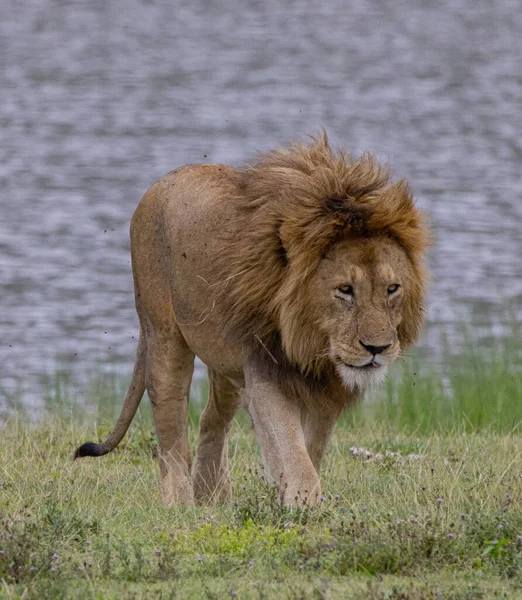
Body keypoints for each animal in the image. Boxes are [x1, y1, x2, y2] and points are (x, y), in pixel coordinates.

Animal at [76, 132, 426, 506]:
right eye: (345, 290)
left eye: (392, 289)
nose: (378, 348)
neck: (310, 343)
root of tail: (159, 183)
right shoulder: (266, 369)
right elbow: (293, 454)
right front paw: (301, 503)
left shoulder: (324, 389)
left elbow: (311, 451)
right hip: (164, 335)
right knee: (170, 424)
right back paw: (180, 504)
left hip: (225, 364)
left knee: (211, 419)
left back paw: (212, 498)